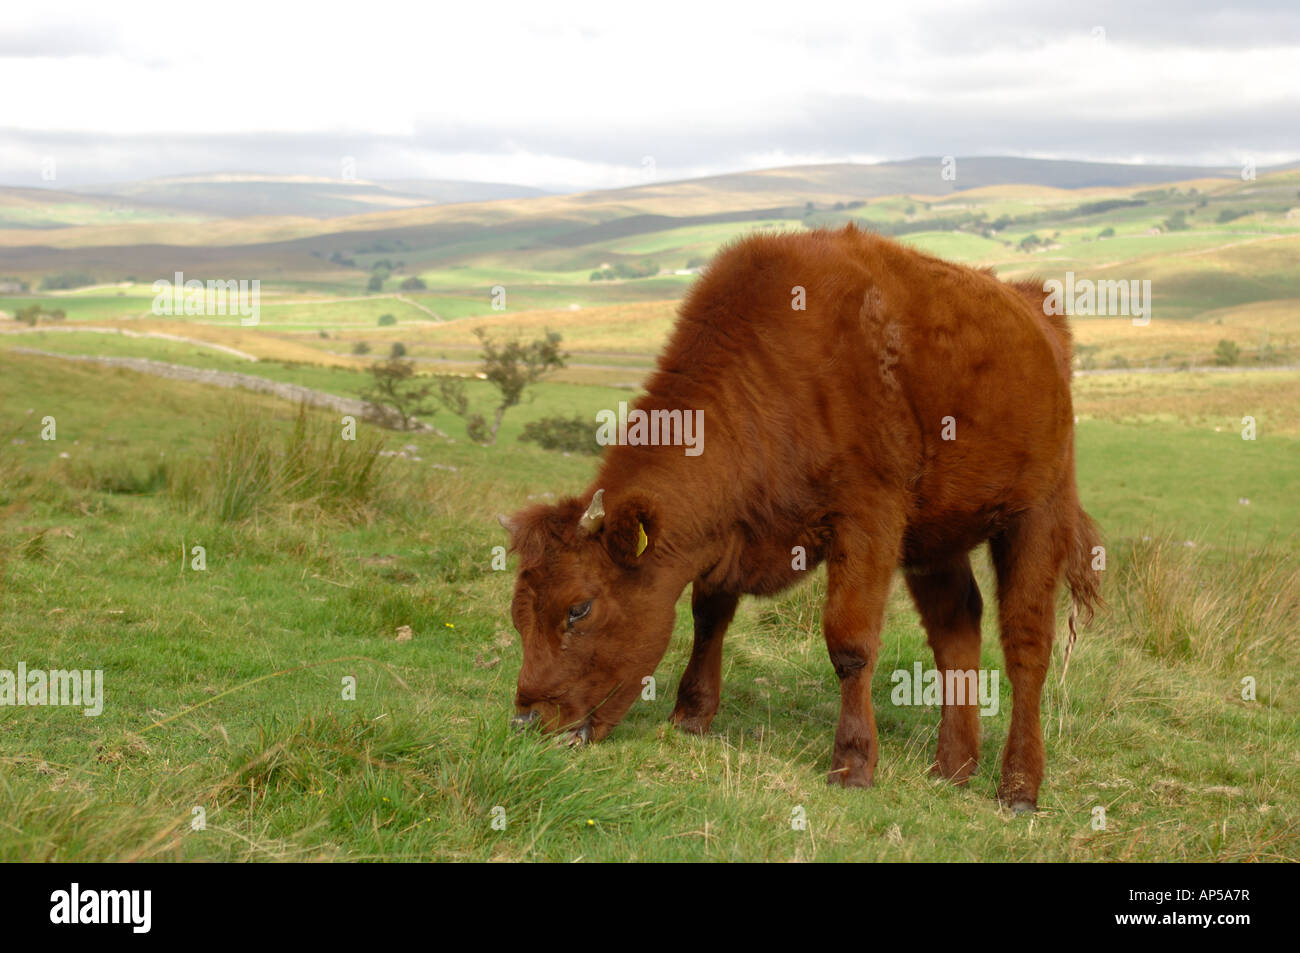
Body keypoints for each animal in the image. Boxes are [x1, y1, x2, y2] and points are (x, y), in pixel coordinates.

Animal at [501, 223, 1102, 811]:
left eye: (579, 609)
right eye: (518, 613)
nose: (527, 719)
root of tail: (1035, 308)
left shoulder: (868, 521)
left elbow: (850, 642)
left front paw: (853, 764)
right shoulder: (732, 533)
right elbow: (709, 614)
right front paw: (691, 715)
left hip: (1038, 515)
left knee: (1027, 644)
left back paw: (1018, 787)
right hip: (937, 537)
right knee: (957, 629)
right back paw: (951, 768)